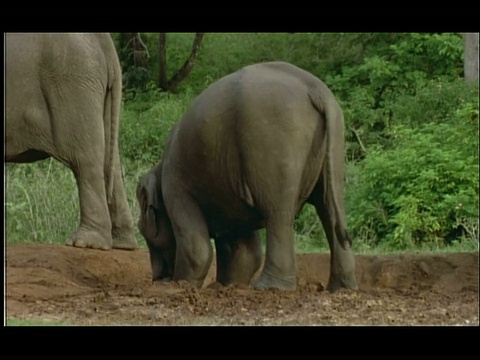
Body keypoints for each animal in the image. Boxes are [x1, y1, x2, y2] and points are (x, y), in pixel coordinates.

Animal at [5, 33, 137, 252]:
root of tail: (104, 39)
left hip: (72, 81)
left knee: (84, 160)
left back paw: (86, 243)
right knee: (110, 161)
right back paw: (122, 244)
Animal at [137, 61, 358, 292]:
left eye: (143, 231)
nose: (158, 278)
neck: (158, 167)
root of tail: (317, 90)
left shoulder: (174, 182)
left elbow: (197, 248)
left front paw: (180, 284)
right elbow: (244, 249)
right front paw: (225, 285)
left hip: (273, 142)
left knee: (278, 213)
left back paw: (269, 287)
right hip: (331, 145)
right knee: (329, 206)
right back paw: (341, 287)